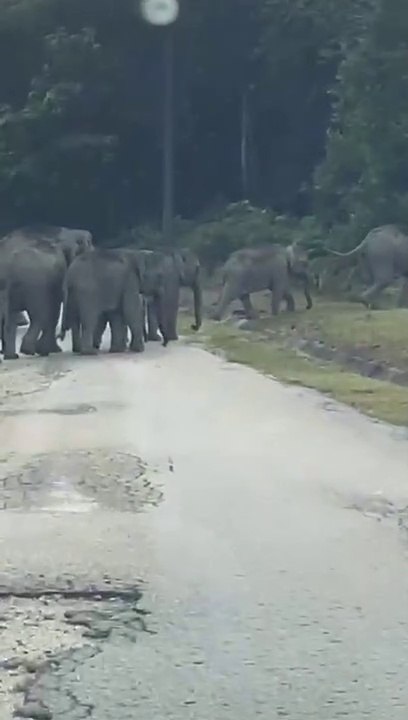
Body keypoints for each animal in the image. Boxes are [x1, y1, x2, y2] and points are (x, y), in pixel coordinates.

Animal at [0, 225, 93, 359]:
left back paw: (12, 355)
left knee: (12, 317)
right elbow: (55, 311)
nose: (61, 336)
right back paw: (31, 350)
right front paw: (55, 349)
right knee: (39, 315)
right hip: (34, 287)